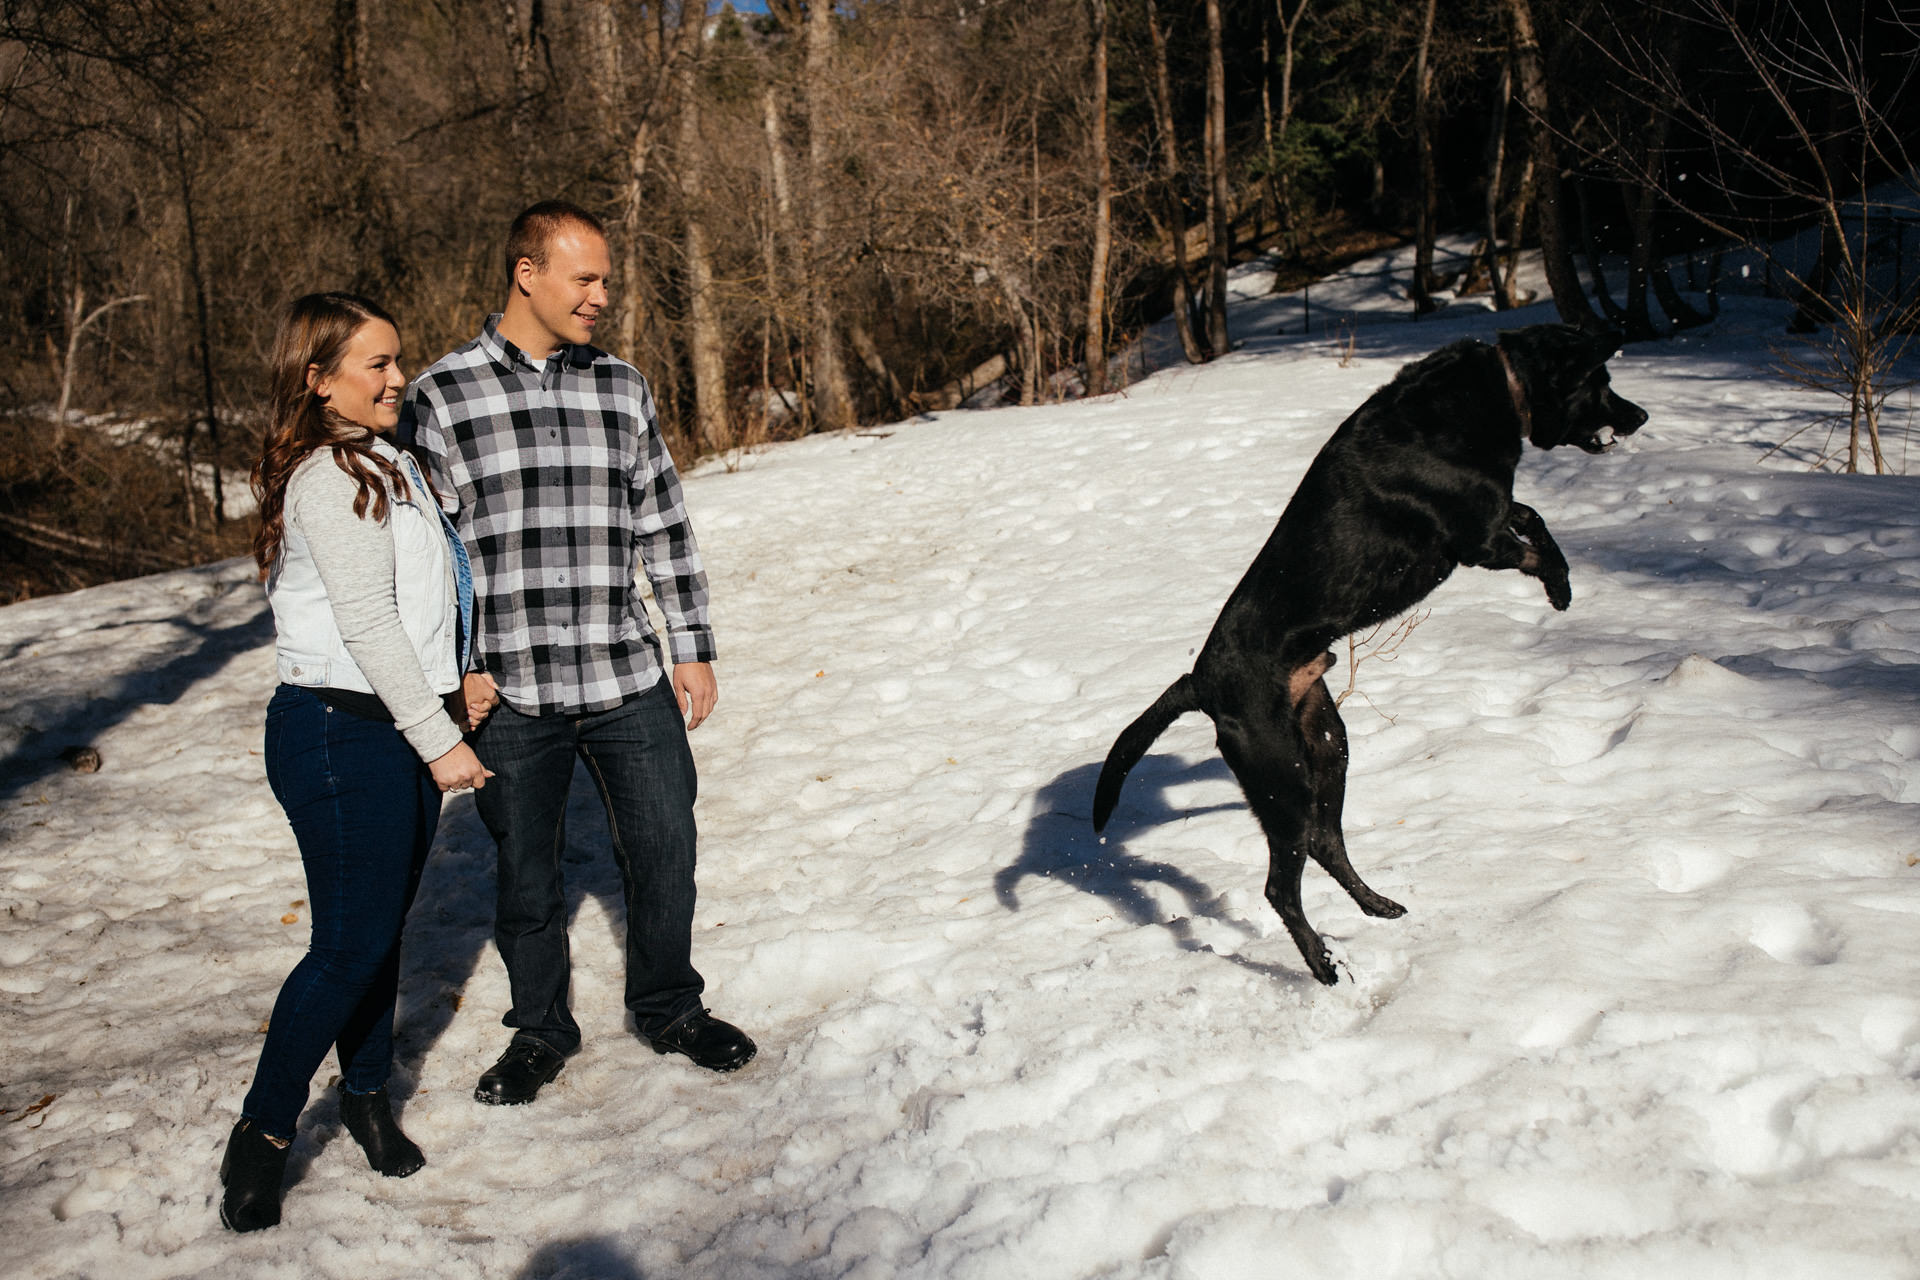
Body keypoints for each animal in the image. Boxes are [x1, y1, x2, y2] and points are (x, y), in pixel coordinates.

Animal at [1098, 326, 1651, 990]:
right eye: (1600, 380)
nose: (1641, 416)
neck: (1494, 386)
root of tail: (1199, 680)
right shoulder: (1479, 539)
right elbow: (1530, 539)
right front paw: (1559, 586)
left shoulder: (1496, 513)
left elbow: (1533, 516)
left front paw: (1561, 586)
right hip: (1281, 777)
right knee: (1280, 885)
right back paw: (1323, 965)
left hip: (1326, 745)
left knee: (1326, 843)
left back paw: (1376, 905)